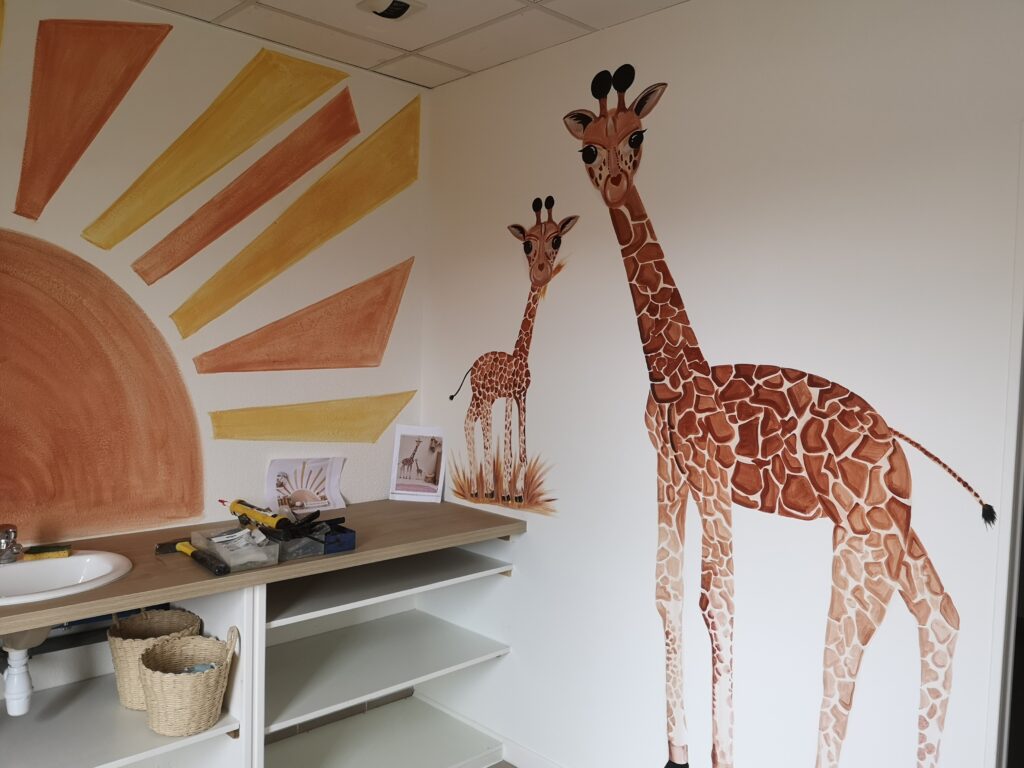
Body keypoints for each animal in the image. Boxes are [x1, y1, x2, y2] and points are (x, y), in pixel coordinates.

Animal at [449, 196, 579, 502]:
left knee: (467, 421)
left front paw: (513, 492)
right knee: (476, 428)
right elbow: (501, 445)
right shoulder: (509, 396)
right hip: (483, 396)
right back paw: (480, 488)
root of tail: (472, 365)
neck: (520, 355)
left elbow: (515, 449)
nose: (541, 273)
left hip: (480, 398)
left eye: (557, 240)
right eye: (527, 245)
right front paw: (501, 491)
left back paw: (479, 487)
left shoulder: (516, 395)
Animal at [562, 64, 995, 768]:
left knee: (842, 648)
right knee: (941, 618)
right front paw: (676, 750)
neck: (674, 375)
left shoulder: (712, 480)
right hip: (895, 532)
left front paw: (719, 755)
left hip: (862, 537)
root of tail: (896, 440)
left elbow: (718, 605)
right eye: (586, 150)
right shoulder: (670, 471)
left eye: (639, 134)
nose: (615, 182)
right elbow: (666, 594)